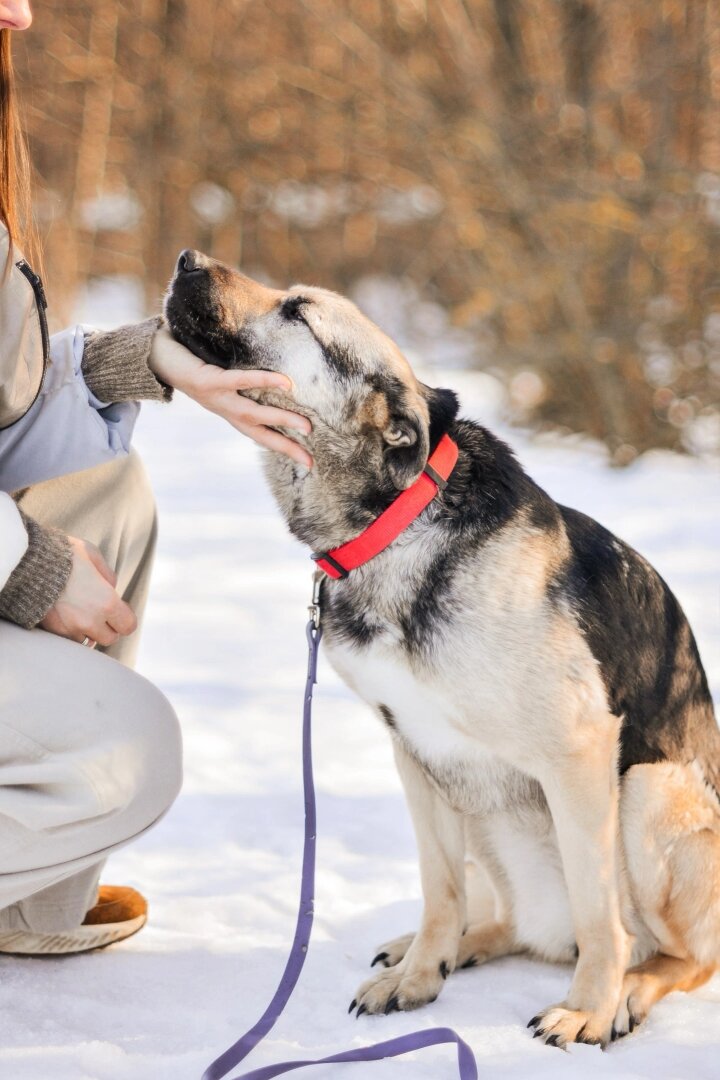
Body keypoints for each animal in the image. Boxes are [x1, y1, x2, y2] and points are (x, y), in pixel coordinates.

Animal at [165, 247, 720, 1045]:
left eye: (298, 311)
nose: (187, 258)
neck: (395, 523)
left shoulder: (579, 750)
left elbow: (598, 913)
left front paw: (588, 1006)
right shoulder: (415, 749)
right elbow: (440, 888)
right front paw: (422, 973)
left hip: (646, 790)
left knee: (680, 954)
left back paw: (631, 991)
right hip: (478, 806)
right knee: (505, 917)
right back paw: (457, 947)